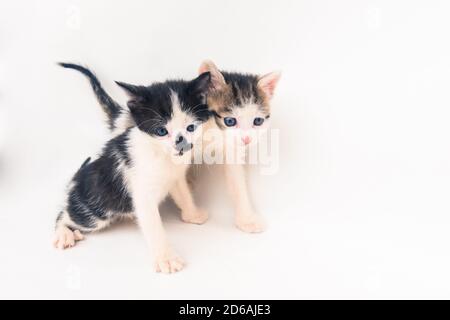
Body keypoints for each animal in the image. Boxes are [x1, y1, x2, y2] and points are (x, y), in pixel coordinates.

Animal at [53, 67, 212, 272]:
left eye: (191, 127)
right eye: (161, 131)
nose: (181, 144)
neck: (162, 156)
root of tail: (75, 180)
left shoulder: (175, 177)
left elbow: (183, 194)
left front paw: (192, 214)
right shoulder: (142, 194)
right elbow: (153, 226)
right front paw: (167, 258)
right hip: (96, 211)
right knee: (65, 213)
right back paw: (64, 233)